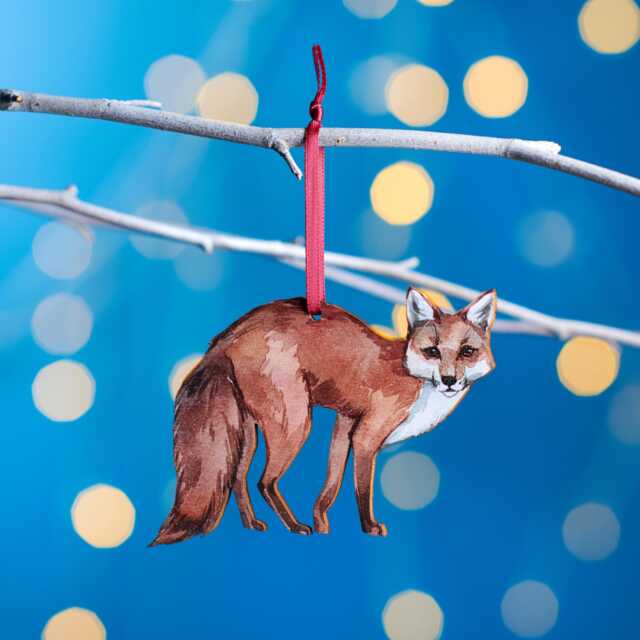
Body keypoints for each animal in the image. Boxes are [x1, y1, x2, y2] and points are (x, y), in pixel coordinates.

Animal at [151, 287, 496, 545]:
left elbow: (330, 487)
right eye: (432, 351)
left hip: (250, 431)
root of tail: (226, 336)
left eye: (467, 352)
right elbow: (361, 490)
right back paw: (294, 527)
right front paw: (368, 529)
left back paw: (252, 524)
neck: (413, 381)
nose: (449, 380)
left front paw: (322, 526)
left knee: (238, 477)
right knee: (265, 481)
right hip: (295, 423)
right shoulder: (366, 435)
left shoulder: (345, 424)